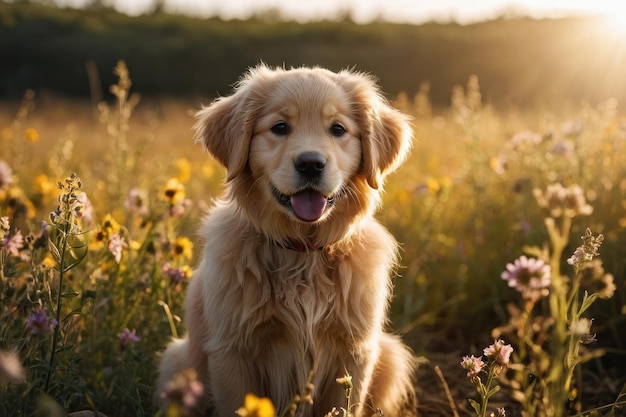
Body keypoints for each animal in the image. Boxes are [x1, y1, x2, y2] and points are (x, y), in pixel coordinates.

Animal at [157, 64, 414, 416]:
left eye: (338, 129)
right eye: (280, 127)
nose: (310, 163)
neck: (302, 252)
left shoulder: (354, 351)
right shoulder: (231, 351)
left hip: (391, 355)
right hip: (178, 360)